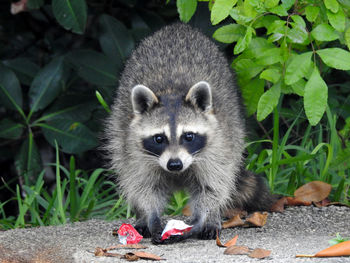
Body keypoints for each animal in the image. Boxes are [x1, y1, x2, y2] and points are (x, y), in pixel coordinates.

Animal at [104, 23, 274, 245]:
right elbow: (143, 185)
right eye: (159, 138)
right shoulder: (134, 148)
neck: (171, 91)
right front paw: (151, 217)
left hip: (234, 123)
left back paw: (212, 218)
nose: (174, 164)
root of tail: (178, 27)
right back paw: (141, 217)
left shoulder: (219, 144)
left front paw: (201, 220)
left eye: (189, 136)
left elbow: (212, 186)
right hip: (119, 130)